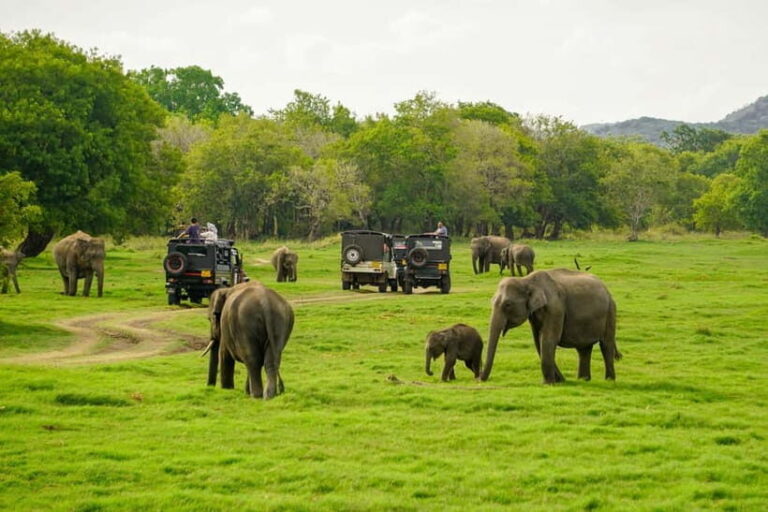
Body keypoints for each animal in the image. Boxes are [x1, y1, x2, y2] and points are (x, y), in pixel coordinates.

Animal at [481, 269, 621, 384]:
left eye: (508, 304)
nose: (479, 379)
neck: (527, 280)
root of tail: (606, 288)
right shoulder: (534, 314)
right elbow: (538, 341)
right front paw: (555, 381)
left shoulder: (556, 309)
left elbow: (548, 339)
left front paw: (549, 383)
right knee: (584, 349)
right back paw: (583, 380)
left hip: (610, 311)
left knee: (606, 344)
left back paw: (609, 380)